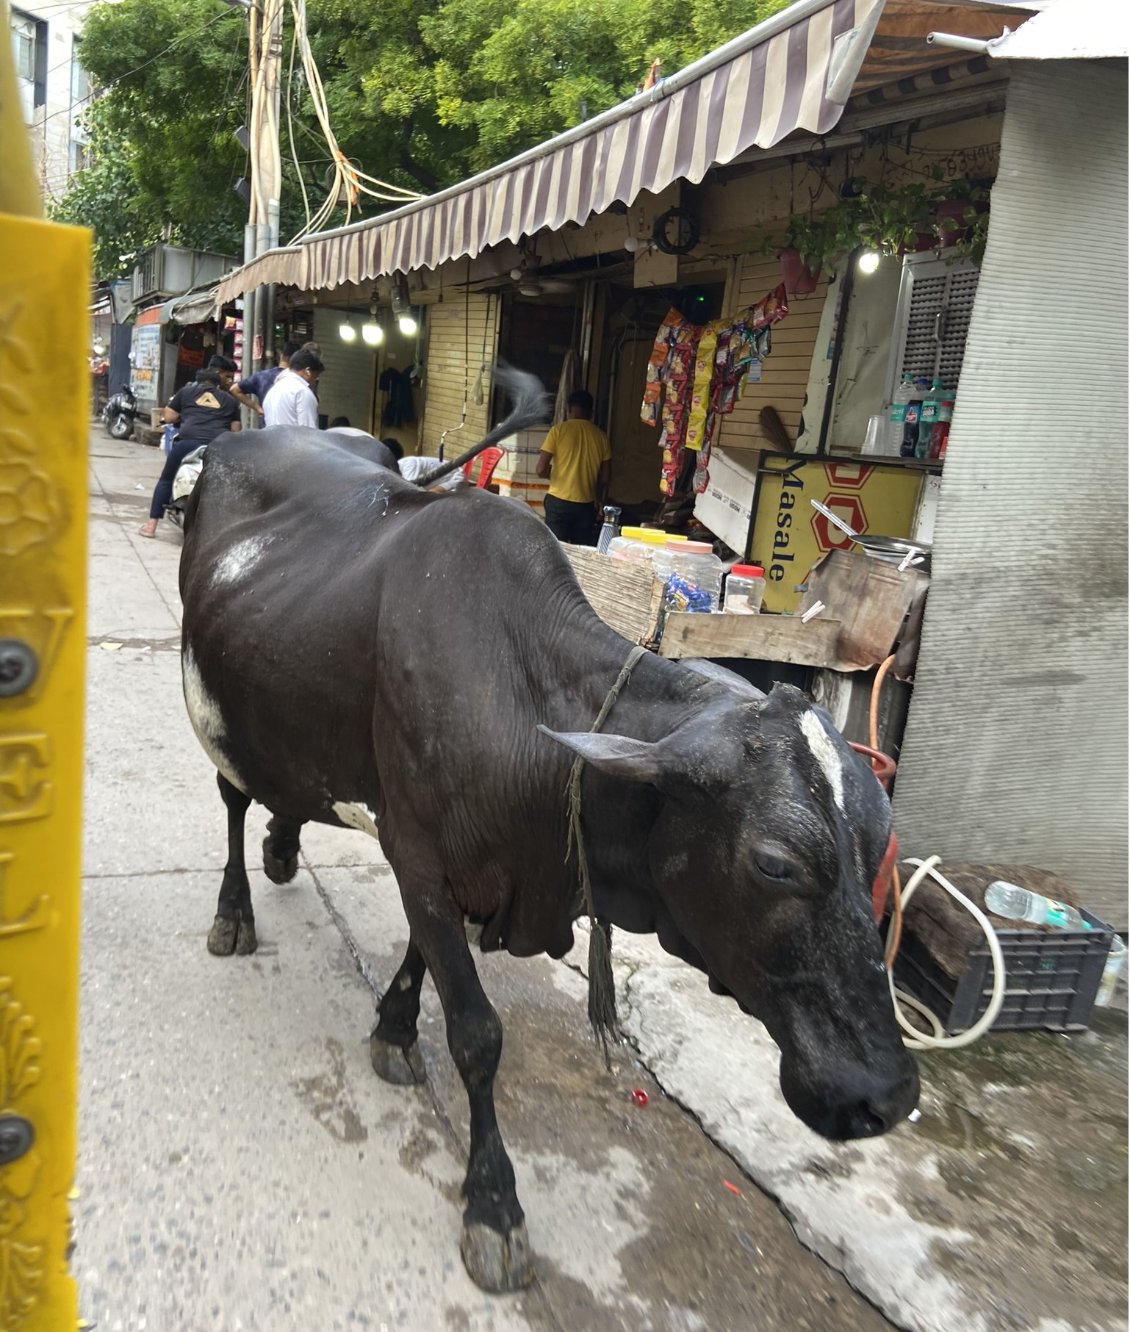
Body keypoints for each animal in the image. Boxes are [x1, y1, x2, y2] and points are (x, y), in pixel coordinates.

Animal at [178, 372, 916, 1289]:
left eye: (878, 843)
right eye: (776, 863)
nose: (885, 1094)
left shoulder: (447, 866)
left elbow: (422, 966)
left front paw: (393, 1027)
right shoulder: (419, 857)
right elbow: (476, 1034)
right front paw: (494, 1204)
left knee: (283, 792)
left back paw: (284, 846)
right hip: (217, 705)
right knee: (232, 800)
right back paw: (234, 910)